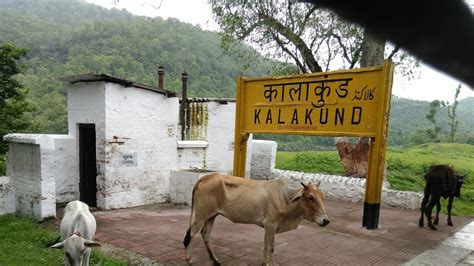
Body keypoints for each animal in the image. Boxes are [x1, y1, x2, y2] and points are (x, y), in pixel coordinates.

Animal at [182, 174, 330, 264]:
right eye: (310, 198)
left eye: (322, 197)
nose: (326, 220)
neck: (286, 198)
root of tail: (205, 177)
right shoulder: (271, 225)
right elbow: (271, 248)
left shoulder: (268, 227)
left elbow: (265, 246)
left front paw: (265, 263)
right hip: (201, 215)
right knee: (190, 234)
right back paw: (189, 259)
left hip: (212, 215)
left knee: (205, 234)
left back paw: (215, 260)